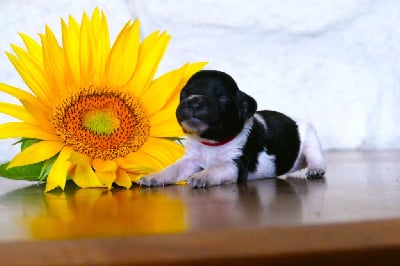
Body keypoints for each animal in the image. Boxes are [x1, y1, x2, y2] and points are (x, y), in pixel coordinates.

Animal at [139, 69, 326, 188]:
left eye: (222, 97)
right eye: (185, 94)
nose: (194, 102)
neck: (210, 141)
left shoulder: (236, 164)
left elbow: (217, 168)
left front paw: (201, 176)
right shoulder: (190, 160)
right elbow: (174, 168)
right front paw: (154, 177)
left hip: (311, 139)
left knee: (316, 157)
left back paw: (315, 169)